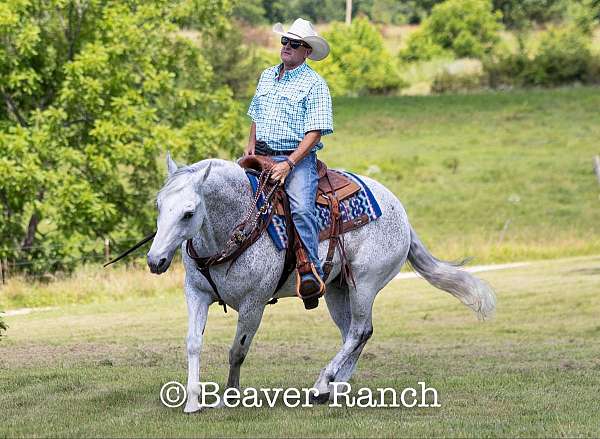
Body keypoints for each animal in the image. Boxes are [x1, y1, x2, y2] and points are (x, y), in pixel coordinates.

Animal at [148, 155, 494, 412]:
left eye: (188, 213)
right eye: (159, 206)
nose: (155, 260)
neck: (233, 227)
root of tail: (400, 212)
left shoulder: (253, 304)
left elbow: (237, 351)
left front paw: (228, 398)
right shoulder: (196, 294)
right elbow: (193, 342)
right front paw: (193, 402)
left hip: (364, 284)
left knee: (359, 331)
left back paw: (321, 385)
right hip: (338, 289)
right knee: (352, 334)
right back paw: (334, 388)